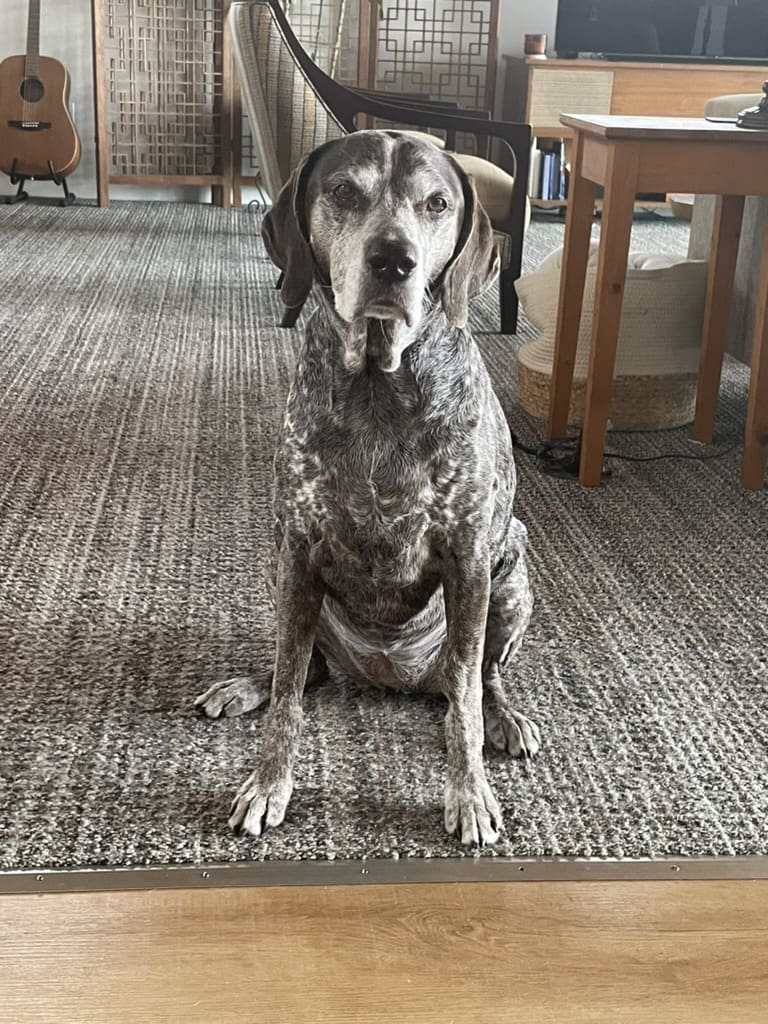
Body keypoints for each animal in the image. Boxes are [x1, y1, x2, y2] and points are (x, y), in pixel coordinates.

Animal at [195, 130, 536, 847]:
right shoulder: (297, 548)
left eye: (437, 203)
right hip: (275, 569)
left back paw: (504, 718)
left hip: (513, 572)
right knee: (306, 668)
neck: (380, 383)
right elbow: (290, 695)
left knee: (478, 680)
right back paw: (246, 685)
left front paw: (469, 793)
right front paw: (269, 783)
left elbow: (466, 699)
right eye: (344, 191)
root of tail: (394, 673)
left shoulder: (469, 561)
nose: (394, 260)